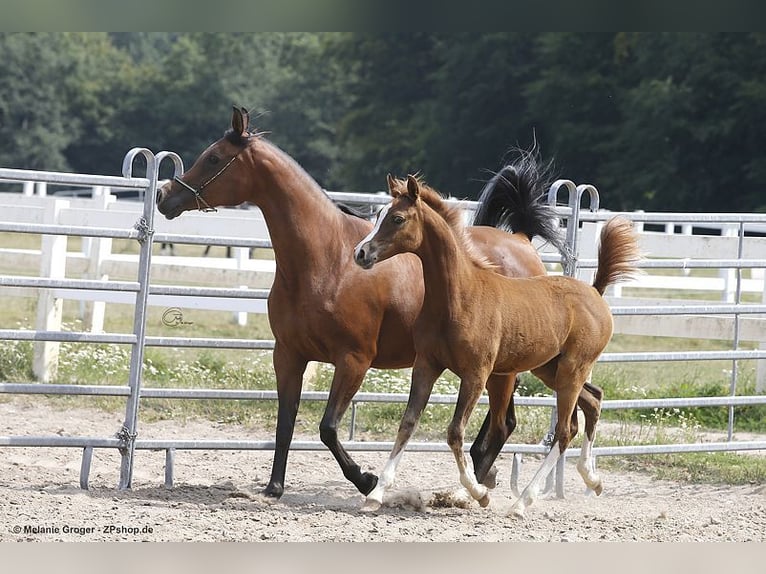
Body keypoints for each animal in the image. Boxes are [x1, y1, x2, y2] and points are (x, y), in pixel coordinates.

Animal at [156, 105, 565, 500]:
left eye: (214, 158)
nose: (164, 196)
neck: (328, 260)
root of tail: (522, 242)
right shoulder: (288, 355)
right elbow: (285, 422)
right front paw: (273, 488)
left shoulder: (353, 360)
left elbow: (328, 428)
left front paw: (367, 480)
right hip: (499, 369)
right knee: (500, 426)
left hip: (500, 371)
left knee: (500, 425)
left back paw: (470, 488)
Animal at [353, 175, 640, 517]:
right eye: (378, 215)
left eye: (397, 219)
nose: (360, 253)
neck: (458, 296)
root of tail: (595, 292)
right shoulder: (426, 365)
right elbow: (408, 423)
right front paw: (376, 494)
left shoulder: (476, 374)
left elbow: (455, 432)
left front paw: (478, 493)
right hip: (551, 369)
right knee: (592, 402)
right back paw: (592, 479)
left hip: (572, 369)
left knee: (564, 430)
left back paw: (522, 502)